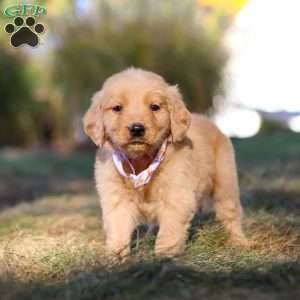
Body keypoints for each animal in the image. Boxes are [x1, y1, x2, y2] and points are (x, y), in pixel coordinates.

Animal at [82, 67, 246, 258]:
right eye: (117, 108)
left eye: (155, 107)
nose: (136, 129)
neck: (142, 162)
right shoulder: (116, 200)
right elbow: (118, 231)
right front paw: (115, 258)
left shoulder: (176, 197)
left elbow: (169, 232)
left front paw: (165, 257)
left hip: (225, 182)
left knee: (230, 213)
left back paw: (238, 242)